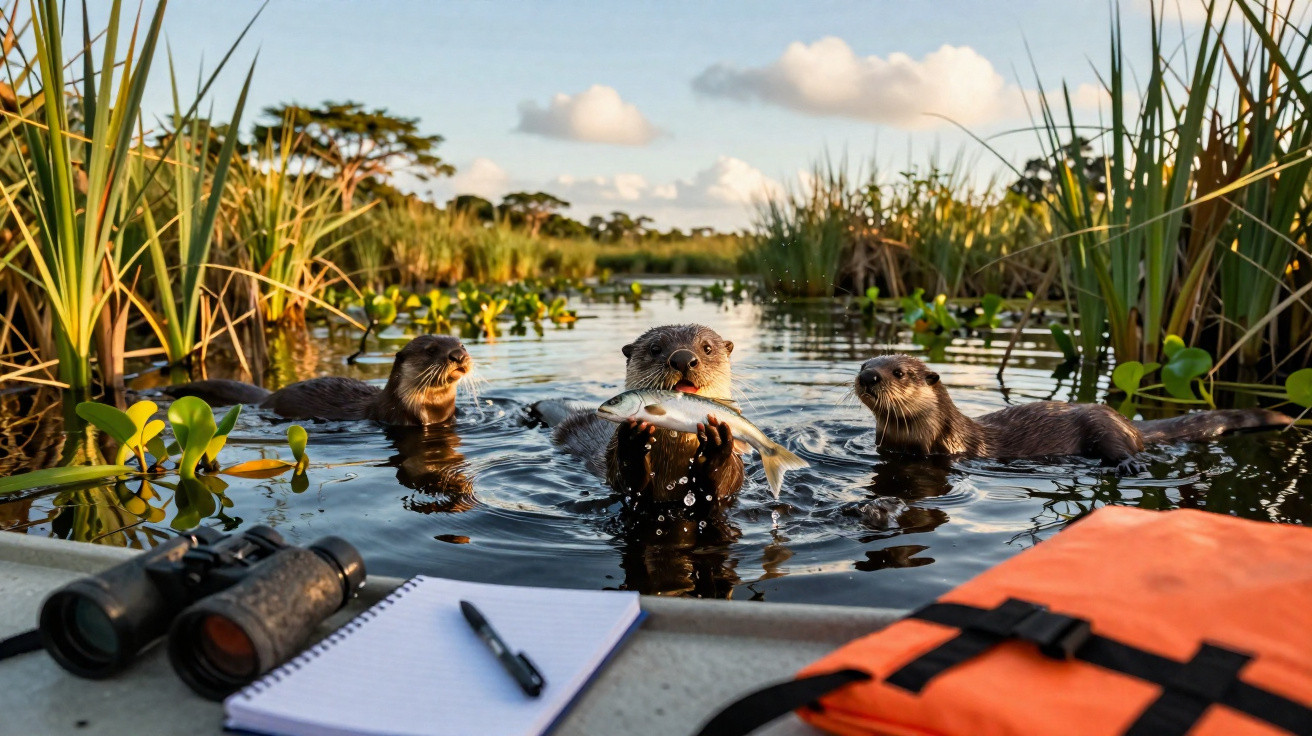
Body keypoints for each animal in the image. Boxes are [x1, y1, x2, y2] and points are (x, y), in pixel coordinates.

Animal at [546, 324, 744, 505]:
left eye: (707, 348)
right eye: (655, 348)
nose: (683, 358)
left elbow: (723, 485)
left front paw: (715, 443)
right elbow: (627, 483)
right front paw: (634, 438)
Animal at [854, 354, 1293, 474]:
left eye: (898, 372)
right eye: (864, 364)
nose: (869, 376)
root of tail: (1131, 424)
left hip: (1102, 426)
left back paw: (1128, 465)